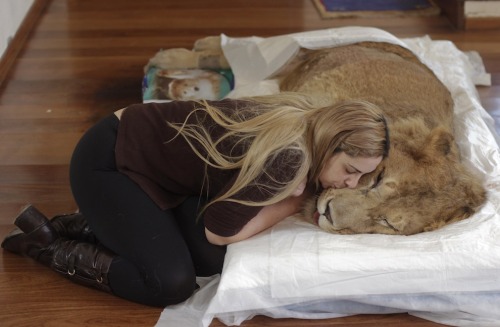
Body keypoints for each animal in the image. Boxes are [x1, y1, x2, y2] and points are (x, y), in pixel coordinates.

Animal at [146, 36, 488, 236]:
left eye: (387, 222)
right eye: (377, 179)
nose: (329, 214)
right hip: (304, 56)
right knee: (234, 52)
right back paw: (174, 55)